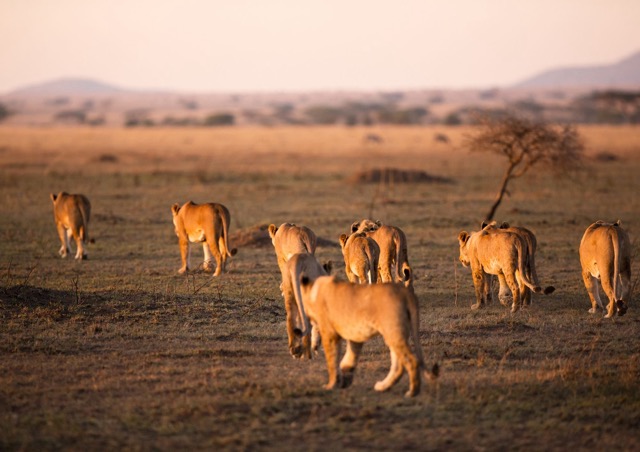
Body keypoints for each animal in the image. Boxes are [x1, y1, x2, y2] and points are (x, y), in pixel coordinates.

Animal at [298, 266, 432, 398]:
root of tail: (404, 293)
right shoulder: (355, 336)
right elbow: (349, 358)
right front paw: (345, 379)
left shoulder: (330, 334)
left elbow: (332, 361)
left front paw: (331, 385)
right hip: (395, 334)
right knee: (399, 365)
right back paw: (383, 386)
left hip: (393, 332)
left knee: (412, 361)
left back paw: (412, 392)